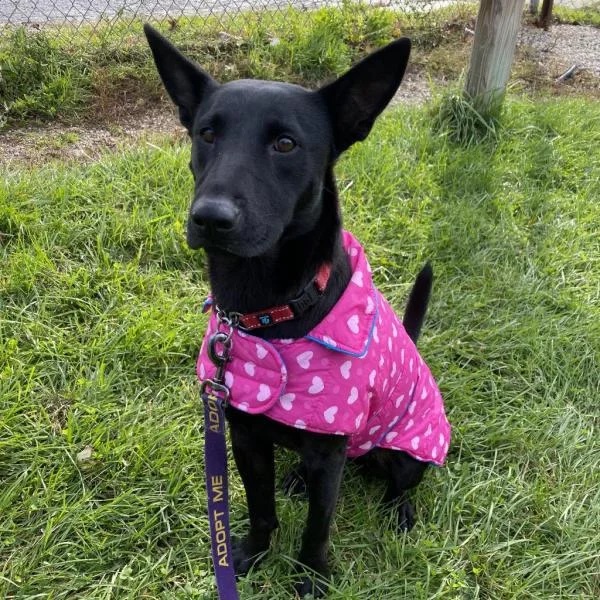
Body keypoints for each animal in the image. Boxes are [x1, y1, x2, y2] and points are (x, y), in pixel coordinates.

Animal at [143, 25, 438, 596]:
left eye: (285, 144)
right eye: (206, 134)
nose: (210, 218)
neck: (265, 312)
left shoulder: (328, 458)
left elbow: (317, 528)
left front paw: (312, 578)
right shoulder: (244, 438)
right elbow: (260, 508)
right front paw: (250, 554)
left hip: (404, 449)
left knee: (399, 482)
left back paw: (400, 511)